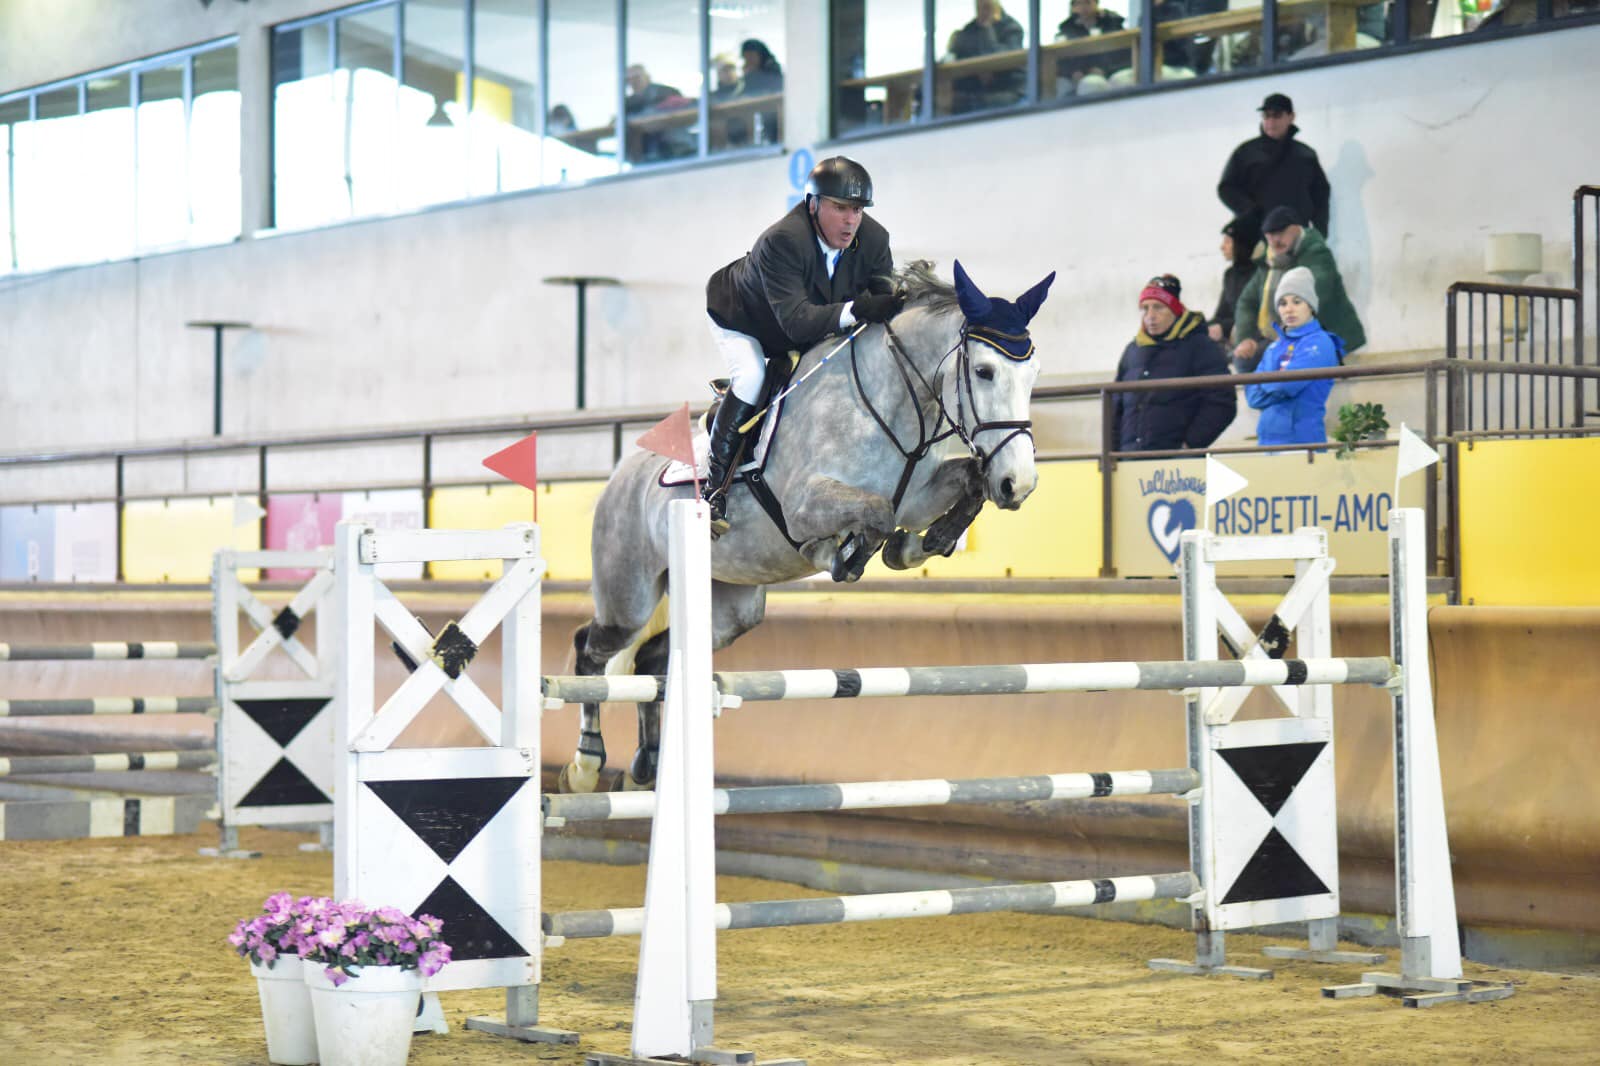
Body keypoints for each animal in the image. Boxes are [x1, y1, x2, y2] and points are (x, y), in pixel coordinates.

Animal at [559, 259, 1056, 792]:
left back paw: (646, 766)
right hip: (628, 597)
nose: (1020, 483)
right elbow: (876, 513)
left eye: (1033, 375)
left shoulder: (920, 496)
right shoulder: (804, 505)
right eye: (984, 371)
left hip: (730, 607)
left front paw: (928, 542)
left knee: (655, 659)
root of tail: (620, 475)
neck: (894, 403)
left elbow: (965, 483)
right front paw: (845, 554)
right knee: (591, 648)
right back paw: (586, 766)